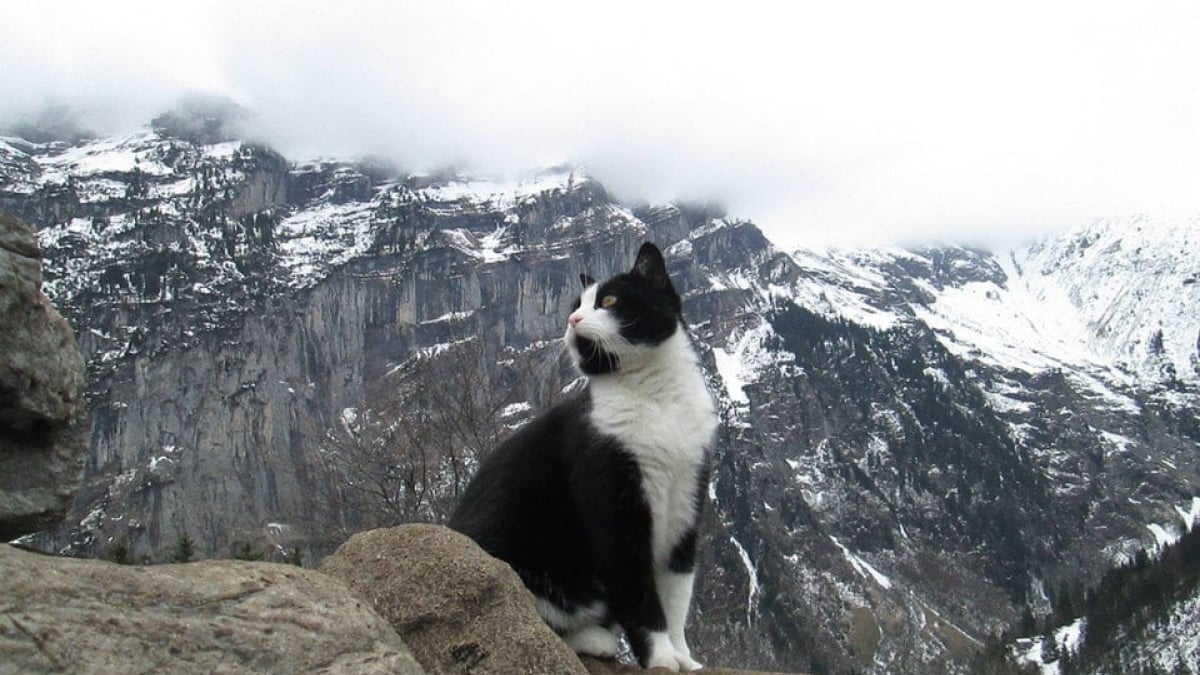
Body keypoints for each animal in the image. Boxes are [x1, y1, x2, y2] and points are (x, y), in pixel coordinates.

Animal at [448, 240, 710, 667]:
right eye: (576, 303)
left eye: (608, 300)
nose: (572, 319)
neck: (655, 398)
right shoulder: (612, 504)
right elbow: (639, 594)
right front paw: (661, 657)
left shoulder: (687, 502)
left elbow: (676, 595)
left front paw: (683, 656)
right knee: (522, 613)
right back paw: (595, 639)